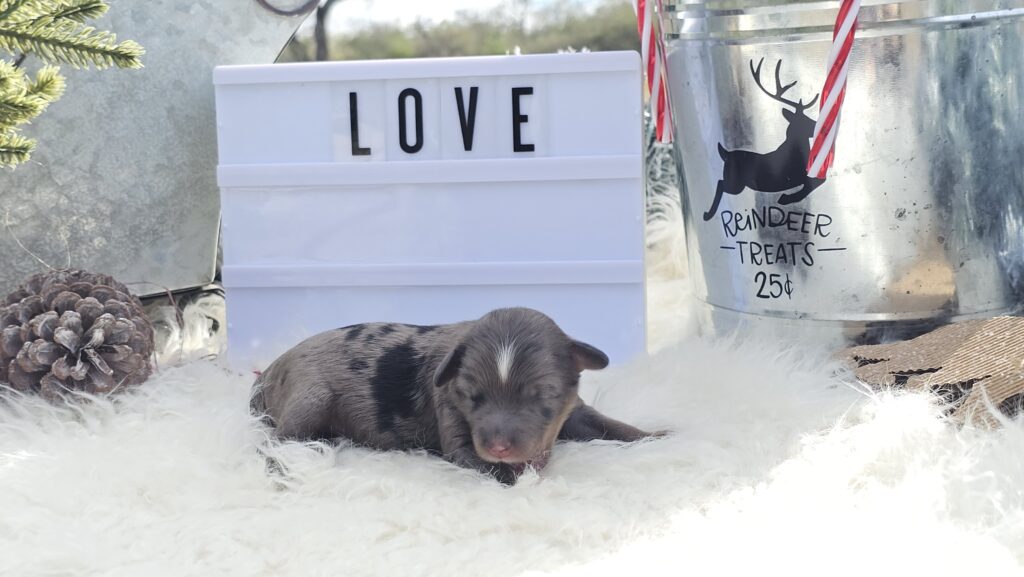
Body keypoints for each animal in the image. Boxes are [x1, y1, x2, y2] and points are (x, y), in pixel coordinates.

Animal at [251, 307, 659, 483]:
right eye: (471, 396)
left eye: (543, 395)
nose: (499, 447)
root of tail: (269, 370)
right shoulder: (454, 424)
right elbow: (490, 467)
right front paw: (517, 475)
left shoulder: (573, 411)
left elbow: (608, 424)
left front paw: (658, 436)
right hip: (310, 395)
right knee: (274, 441)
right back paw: (285, 465)